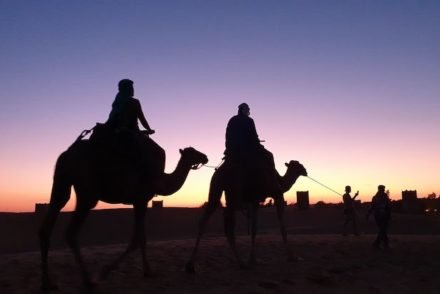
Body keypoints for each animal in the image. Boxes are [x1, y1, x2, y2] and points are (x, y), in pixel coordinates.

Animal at [38, 135, 208, 290]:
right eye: (192, 152)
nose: (205, 157)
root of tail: (67, 154)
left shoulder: (138, 202)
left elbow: (140, 238)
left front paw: (145, 271)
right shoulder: (141, 199)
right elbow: (138, 239)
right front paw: (107, 271)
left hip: (62, 182)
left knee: (49, 222)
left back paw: (48, 282)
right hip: (88, 191)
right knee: (71, 232)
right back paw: (88, 280)